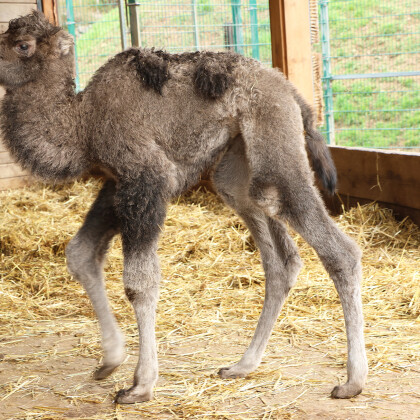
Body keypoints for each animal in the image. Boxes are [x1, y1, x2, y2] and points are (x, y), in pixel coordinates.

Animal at [0, 10, 366, 404]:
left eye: (22, 45)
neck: (83, 122)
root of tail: (293, 93)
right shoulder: (117, 183)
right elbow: (80, 253)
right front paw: (109, 360)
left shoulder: (145, 176)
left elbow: (139, 282)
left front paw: (140, 384)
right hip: (236, 162)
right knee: (279, 257)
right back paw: (241, 365)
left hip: (273, 140)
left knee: (334, 246)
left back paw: (352, 381)